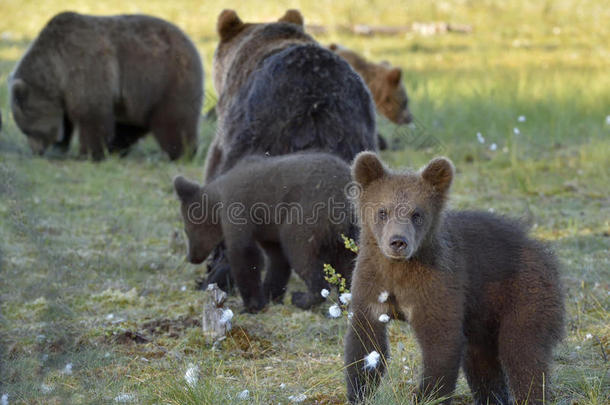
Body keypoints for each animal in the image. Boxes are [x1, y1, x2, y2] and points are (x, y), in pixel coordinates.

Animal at [8, 11, 202, 159]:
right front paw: (61, 146)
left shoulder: (83, 65)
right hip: (139, 97)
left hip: (166, 78)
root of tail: (190, 41)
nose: (36, 151)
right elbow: (67, 119)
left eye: (27, 130)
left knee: (174, 120)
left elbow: (91, 113)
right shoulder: (65, 90)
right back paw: (117, 147)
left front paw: (88, 154)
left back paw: (181, 153)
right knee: (131, 124)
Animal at [173, 152, 356, 312]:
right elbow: (277, 260)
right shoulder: (268, 230)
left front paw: (252, 304)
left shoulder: (238, 210)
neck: (218, 200)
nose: (191, 257)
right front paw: (270, 295)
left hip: (309, 214)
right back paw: (345, 304)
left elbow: (244, 254)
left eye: (186, 230)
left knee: (301, 251)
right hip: (348, 232)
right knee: (348, 266)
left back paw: (301, 298)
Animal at [344, 152, 564, 404]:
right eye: (382, 211)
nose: (398, 242)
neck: (397, 270)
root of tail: (541, 248)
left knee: (522, 353)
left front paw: (428, 396)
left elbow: (441, 343)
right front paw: (359, 392)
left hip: (524, 293)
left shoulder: (436, 284)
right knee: (481, 361)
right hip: (481, 314)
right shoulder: (372, 285)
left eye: (417, 214)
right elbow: (365, 343)